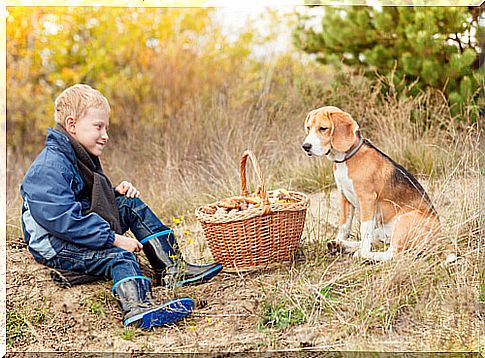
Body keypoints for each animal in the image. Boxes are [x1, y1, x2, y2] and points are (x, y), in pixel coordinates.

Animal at [300, 105, 456, 262]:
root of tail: (440, 237)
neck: (347, 158)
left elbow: (363, 230)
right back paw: (342, 246)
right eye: (308, 128)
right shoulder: (344, 197)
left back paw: (364, 254)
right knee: (376, 241)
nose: (305, 146)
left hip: (403, 222)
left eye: (323, 128)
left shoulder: (367, 199)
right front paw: (339, 240)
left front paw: (361, 251)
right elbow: (344, 226)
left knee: (393, 254)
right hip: (383, 231)